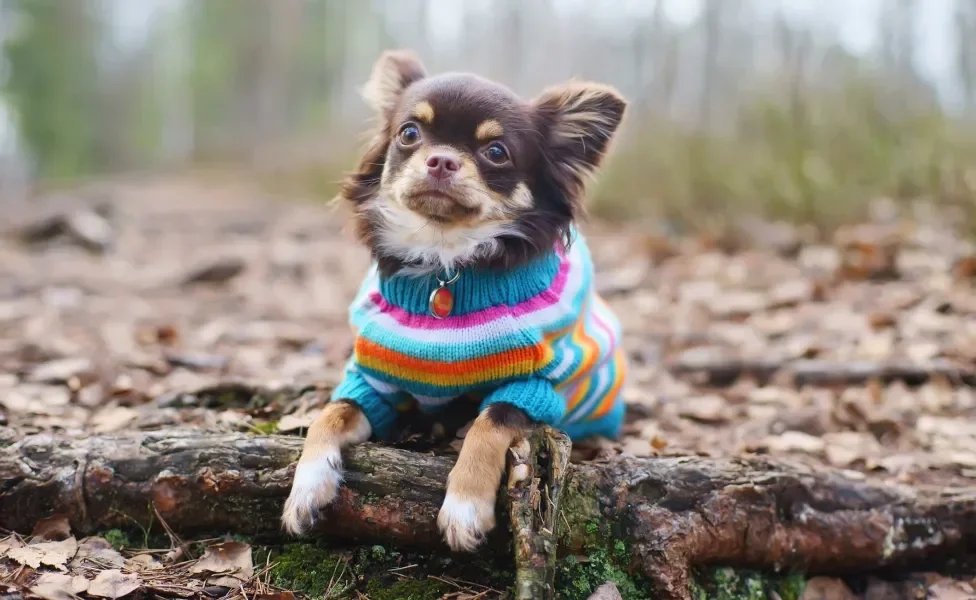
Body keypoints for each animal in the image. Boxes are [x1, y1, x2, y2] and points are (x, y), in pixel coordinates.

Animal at [282, 49, 628, 552]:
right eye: (409, 133)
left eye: (496, 152)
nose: (442, 159)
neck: (444, 261)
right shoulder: (370, 383)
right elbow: (329, 414)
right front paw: (306, 488)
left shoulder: (532, 389)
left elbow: (490, 423)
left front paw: (464, 507)